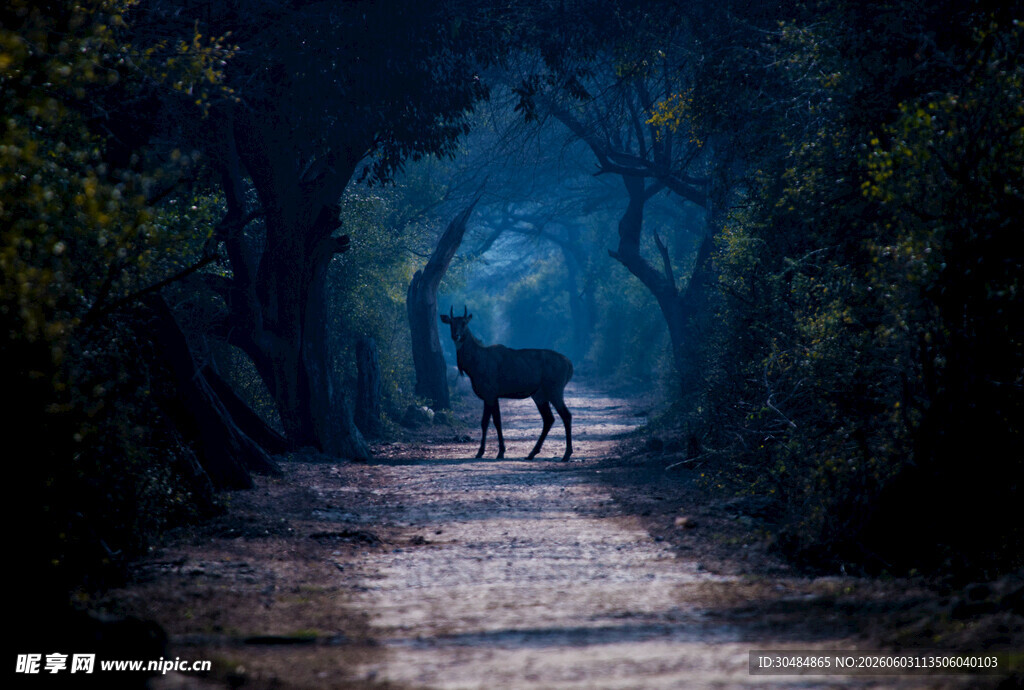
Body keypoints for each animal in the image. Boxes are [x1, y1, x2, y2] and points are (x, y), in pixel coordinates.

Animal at [440, 306, 574, 461]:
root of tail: (569, 365)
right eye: (451, 323)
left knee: (566, 415)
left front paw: (494, 452)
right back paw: (532, 453)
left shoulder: (490, 393)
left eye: (464, 323)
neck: (474, 365)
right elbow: (489, 422)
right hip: (539, 395)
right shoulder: (491, 395)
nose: (455, 335)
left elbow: (492, 422)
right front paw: (490, 451)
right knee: (549, 419)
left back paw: (566, 454)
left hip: (555, 390)